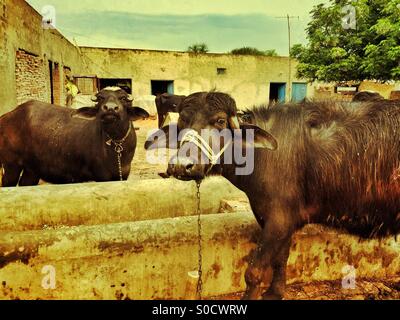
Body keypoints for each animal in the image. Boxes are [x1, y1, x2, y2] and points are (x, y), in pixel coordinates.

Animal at [0, 87, 148, 188]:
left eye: (123, 98)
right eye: (101, 98)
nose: (110, 108)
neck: (116, 145)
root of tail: (7, 116)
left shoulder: (123, 174)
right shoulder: (102, 176)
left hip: (32, 169)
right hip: (11, 165)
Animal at [145, 92, 400, 300]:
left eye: (219, 121)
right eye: (182, 122)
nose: (182, 166)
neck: (260, 157)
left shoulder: (279, 220)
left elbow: (254, 271)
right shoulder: (277, 219)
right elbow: (281, 258)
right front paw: (275, 292)